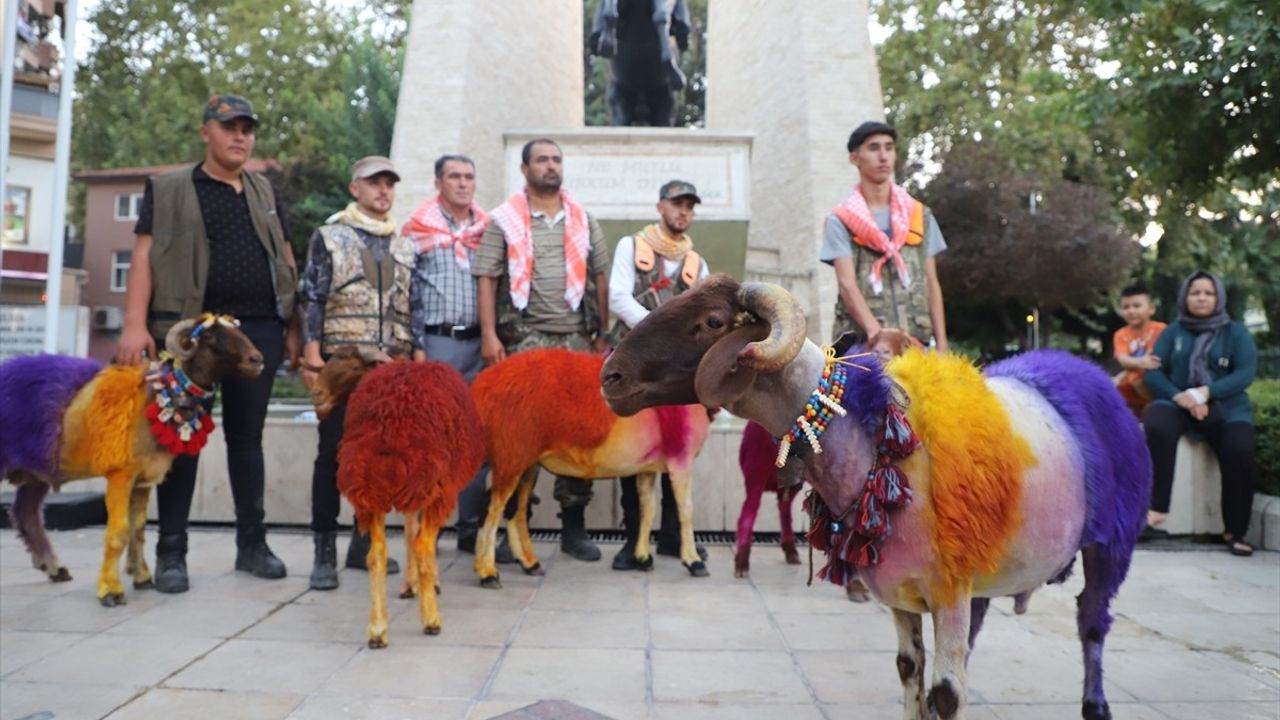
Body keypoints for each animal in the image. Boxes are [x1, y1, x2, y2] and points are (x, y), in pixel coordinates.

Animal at [0, 316, 262, 602]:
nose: (257, 359)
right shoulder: (120, 474)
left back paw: (55, 568)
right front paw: (110, 591)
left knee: (25, 513)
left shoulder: (142, 480)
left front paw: (142, 578)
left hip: (36, 469)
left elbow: (137, 530)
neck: (157, 396)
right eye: (210, 336)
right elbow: (118, 533)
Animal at [471, 348, 711, 589]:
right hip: (510, 454)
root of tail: (484, 385)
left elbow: (647, 509)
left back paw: (530, 564)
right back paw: (488, 574)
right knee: (491, 510)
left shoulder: (648, 467)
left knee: (516, 511)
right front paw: (694, 562)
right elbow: (686, 510)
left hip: (525, 460)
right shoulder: (680, 459)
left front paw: (642, 558)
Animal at [604, 275, 1157, 717]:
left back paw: (1096, 704)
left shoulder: (948, 591)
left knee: (1092, 624)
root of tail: (1082, 371)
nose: (610, 376)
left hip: (1111, 543)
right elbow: (910, 669)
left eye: (713, 321)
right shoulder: (901, 591)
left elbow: (946, 696)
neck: (875, 440)